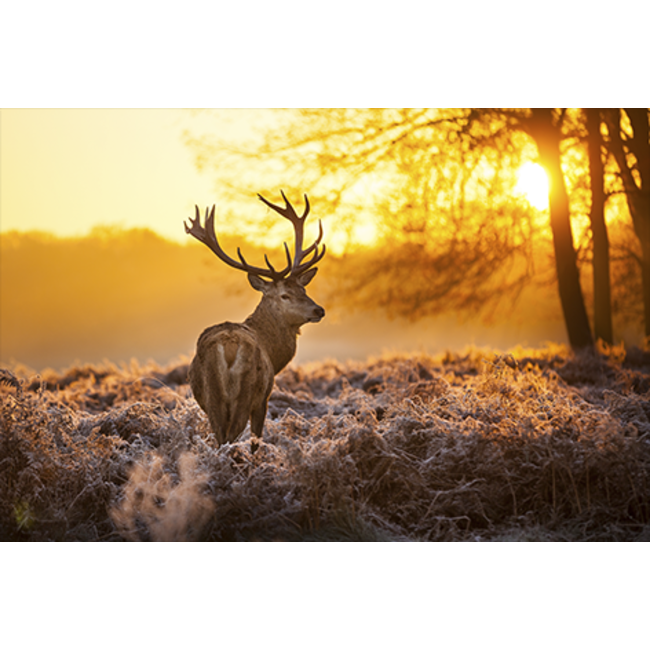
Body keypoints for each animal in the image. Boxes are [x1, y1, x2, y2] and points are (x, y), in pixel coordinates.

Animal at [184, 191, 326, 452]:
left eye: (303, 289)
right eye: (285, 295)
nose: (319, 310)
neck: (273, 352)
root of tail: (229, 346)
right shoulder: (263, 398)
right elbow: (256, 440)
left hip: (212, 397)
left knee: (220, 438)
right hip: (247, 392)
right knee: (232, 437)